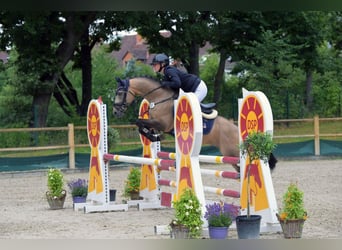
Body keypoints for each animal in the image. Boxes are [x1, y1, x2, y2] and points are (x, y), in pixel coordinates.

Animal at [113, 76, 278, 173]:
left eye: (120, 93)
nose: (115, 112)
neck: (159, 98)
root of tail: (236, 128)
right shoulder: (155, 123)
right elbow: (141, 125)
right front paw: (154, 136)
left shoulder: (163, 124)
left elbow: (139, 121)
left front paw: (154, 137)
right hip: (229, 153)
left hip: (232, 152)